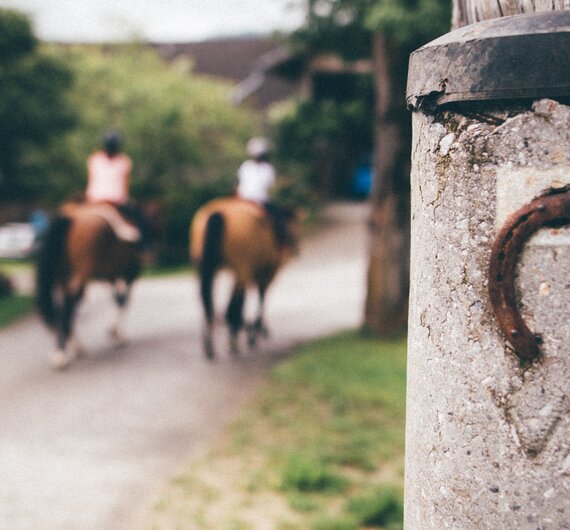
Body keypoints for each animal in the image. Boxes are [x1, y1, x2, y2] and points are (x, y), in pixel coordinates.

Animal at [35, 202, 156, 368]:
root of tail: (69, 218)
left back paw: (73, 347)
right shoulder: (130, 275)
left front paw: (114, 333)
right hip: (80, 277)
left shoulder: (112, 277)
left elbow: (117, 299)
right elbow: (123, 301)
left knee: (62, 309)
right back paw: (61, 354)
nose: (149, 250)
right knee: (68, 306)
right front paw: (118, 335)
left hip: (62, 279)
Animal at [190, 196, 298, 356]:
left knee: (208, 301)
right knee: (229, 309)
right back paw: (235, 338)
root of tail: (217, 214)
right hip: (241, 270)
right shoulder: (266, 274)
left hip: (204, 268)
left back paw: (211, 344)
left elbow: (243, 302)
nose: (295, 251)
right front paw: (254, 331)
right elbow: (259, 299)